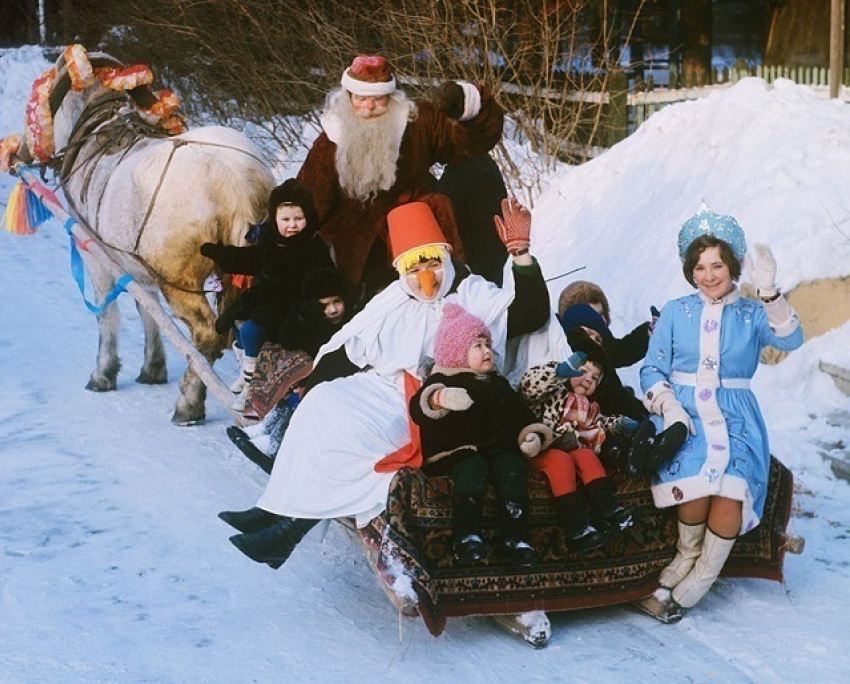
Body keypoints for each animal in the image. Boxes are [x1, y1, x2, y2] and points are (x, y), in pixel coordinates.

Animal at [41, 48, 274, 422]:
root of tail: (233, 182)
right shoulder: (137, 266)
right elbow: (147, 309)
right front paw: (153, 368)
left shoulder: (96, 255)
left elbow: (108, 315)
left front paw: (103, 374)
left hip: (180, 280)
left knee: (208, 335)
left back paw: (190, 402)